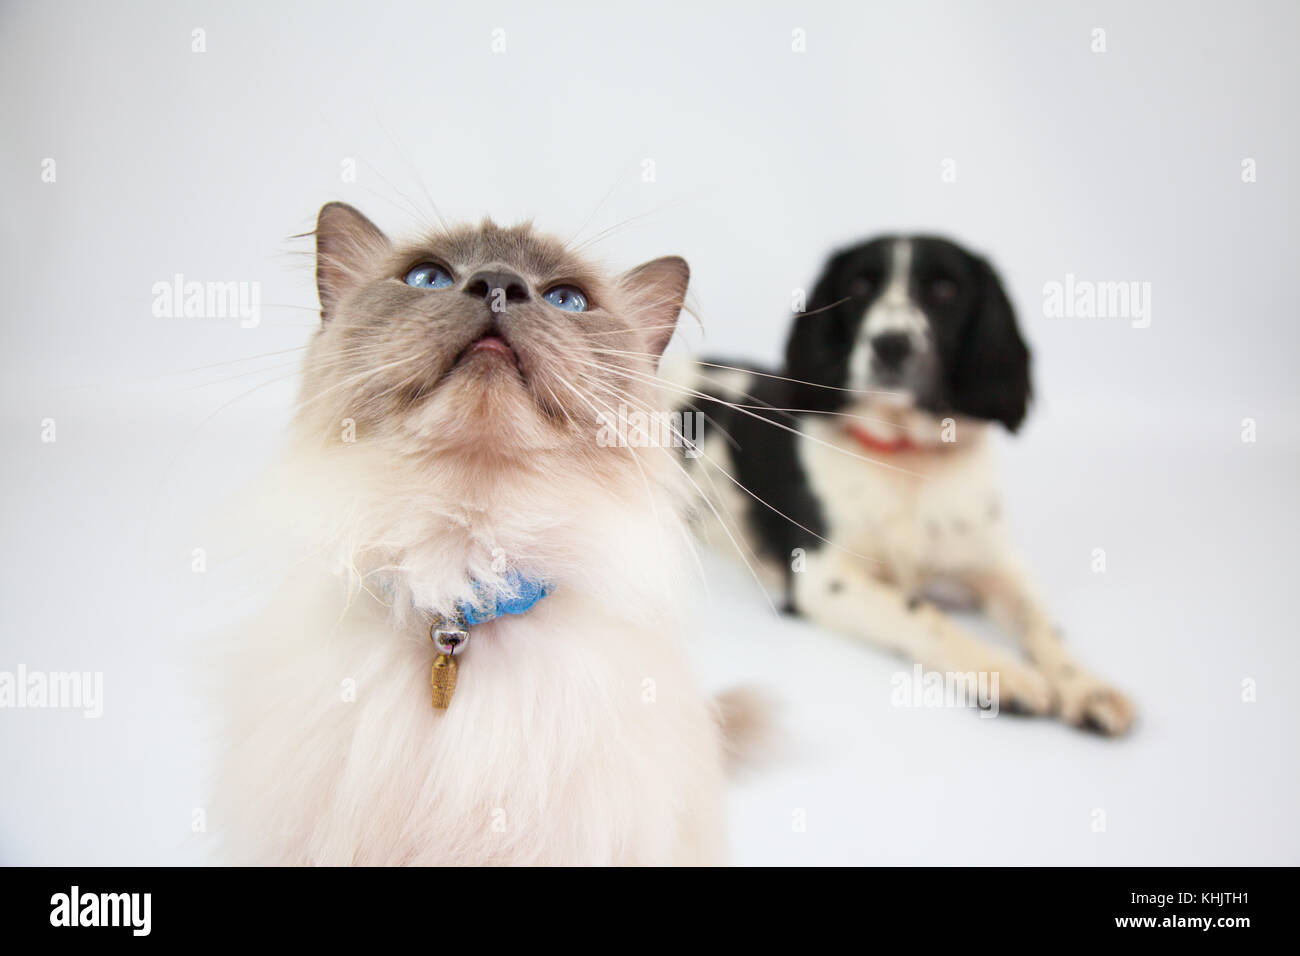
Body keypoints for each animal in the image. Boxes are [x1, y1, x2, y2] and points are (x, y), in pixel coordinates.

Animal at [670, 235, 1138, 738]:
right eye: (859, 285)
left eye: (946, 289)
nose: (891, 344)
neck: (906, 460)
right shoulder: (824, 577)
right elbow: (921, 610)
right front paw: (1000, 670)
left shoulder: (998, 563)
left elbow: (1041, 621)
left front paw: (1087, 686)